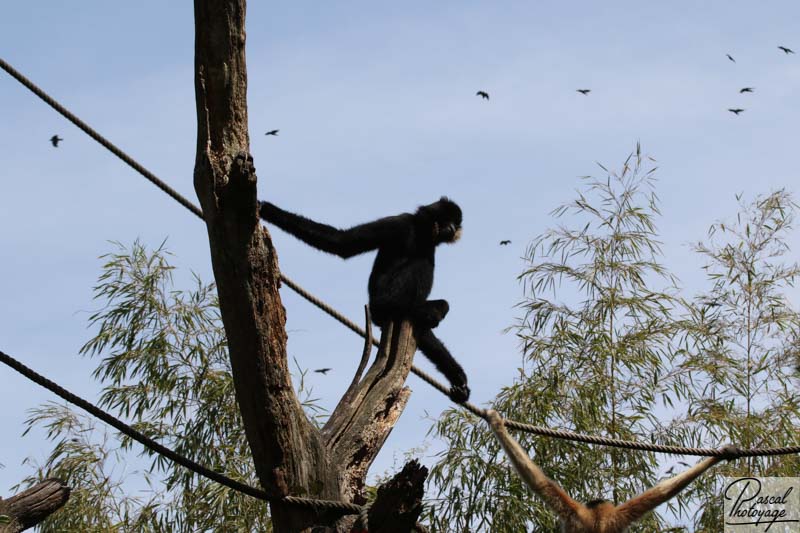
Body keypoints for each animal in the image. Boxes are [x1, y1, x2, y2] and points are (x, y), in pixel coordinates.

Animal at [260, 197, 468, 402]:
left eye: (455, 222)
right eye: (447, 219)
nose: (452, 228)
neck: (421, 232)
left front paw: (459, 381)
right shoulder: (400, 223)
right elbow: (342, 243)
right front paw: (268, 209)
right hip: (385, 295)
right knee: (422, 263)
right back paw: (426, 307)